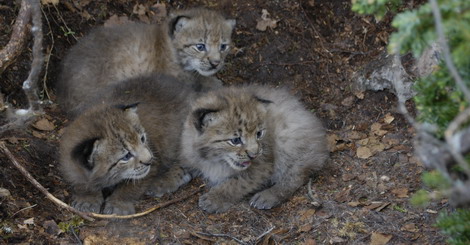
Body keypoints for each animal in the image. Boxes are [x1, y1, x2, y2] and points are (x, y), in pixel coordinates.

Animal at [180, 85, 326, 213]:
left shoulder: (263, 166)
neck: (214, 160)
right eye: (235, 140)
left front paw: (215, 198)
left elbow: (238, 182)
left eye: (259, 134)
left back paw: (267, 196)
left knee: (296, 175)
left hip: (287, 138)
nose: (254, 154)